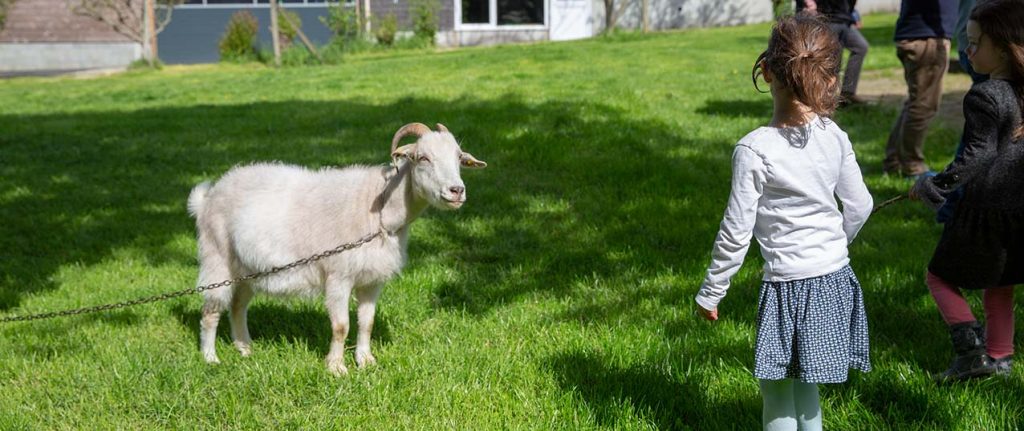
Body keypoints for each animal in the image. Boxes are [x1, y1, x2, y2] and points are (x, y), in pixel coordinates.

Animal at [189, 122, 487, 374]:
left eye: (459, 158)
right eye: (423, 157)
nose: (456, 191)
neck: (379, 210)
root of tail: (208, 197)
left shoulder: (372, 280)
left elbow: (367, 322)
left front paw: (365, 361)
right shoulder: (338, 277)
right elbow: (341, 326)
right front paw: (336, 367)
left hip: (247, 268)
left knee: (238, 305)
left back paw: (245, 348)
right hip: (217, 257)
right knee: (211, 311)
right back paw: (210, 358)